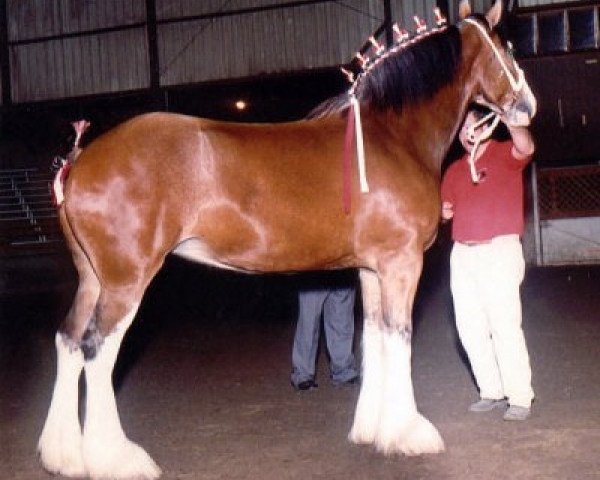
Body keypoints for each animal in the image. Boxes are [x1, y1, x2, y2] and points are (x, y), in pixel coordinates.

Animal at [36, 1, 536, 478]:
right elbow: (400, 338)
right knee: (97, 350)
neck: (391, 135)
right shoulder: (401, 263)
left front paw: (373, 430)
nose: (527, 106)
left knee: (68, 342)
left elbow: (375, 338)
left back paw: (64, 456)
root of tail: (80, 160)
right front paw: (409, 434)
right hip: (126, 281)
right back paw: (116, 460)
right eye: (508, 47)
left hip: (93, 279)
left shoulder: (371, 269)